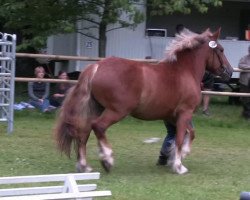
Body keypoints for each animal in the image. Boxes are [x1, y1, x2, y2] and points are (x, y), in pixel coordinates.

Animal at [54, 27, 232, 174]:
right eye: (221, 50)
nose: (229, 72)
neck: (185, 71)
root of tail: (96, 67)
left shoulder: (174, 117)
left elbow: (189, 134)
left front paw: (177, 156)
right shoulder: (185, 113)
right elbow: (181, 138)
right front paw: (178, 166)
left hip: (96, 108)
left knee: (84, 132)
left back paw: (84, 166)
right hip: (117, 111)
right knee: (98, 127)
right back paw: (107, 159)